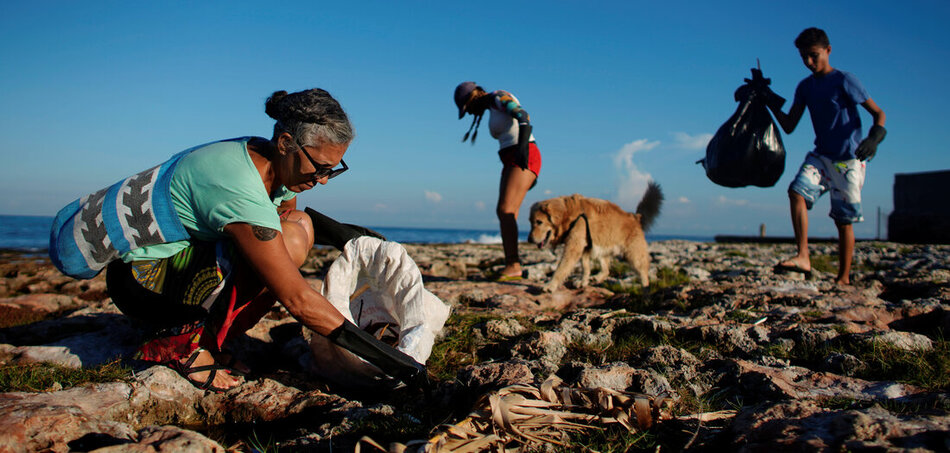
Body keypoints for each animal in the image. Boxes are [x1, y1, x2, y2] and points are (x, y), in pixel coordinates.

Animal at [528, 181, 660, 292]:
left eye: (539, 222)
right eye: (530, 222)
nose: (529, 240)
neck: (569, 214)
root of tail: (635, 217)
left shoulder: (574, 247)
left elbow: (561, 268)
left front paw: (551, 285)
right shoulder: (585, 247)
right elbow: (585, 267)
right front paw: (583, 282)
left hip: (633, 256)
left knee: (643, 274)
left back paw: (645, 290)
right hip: (602, 247)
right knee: (606, 270)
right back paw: (596, 278)